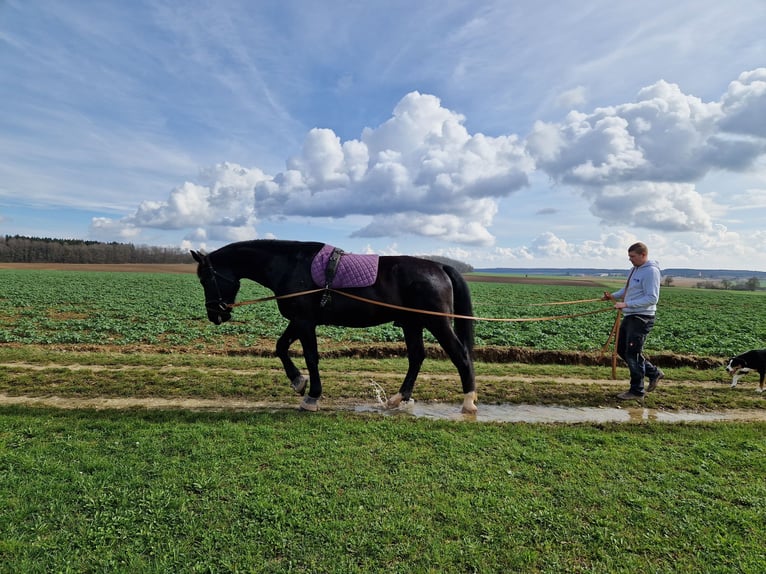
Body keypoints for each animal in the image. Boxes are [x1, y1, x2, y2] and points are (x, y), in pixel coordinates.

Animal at [191, 241, 476, 412]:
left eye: (205, 278)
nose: (215, 315)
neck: (291, 265)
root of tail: (439, 266)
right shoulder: (299, 320)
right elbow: (280, 347)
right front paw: (298, 382)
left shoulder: (305, 322)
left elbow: (310, 356)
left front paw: (311, 396)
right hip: (412, 323)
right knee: (416, 357)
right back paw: (398, 398)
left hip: (436, 322)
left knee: (460, 355)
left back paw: (469, 401)